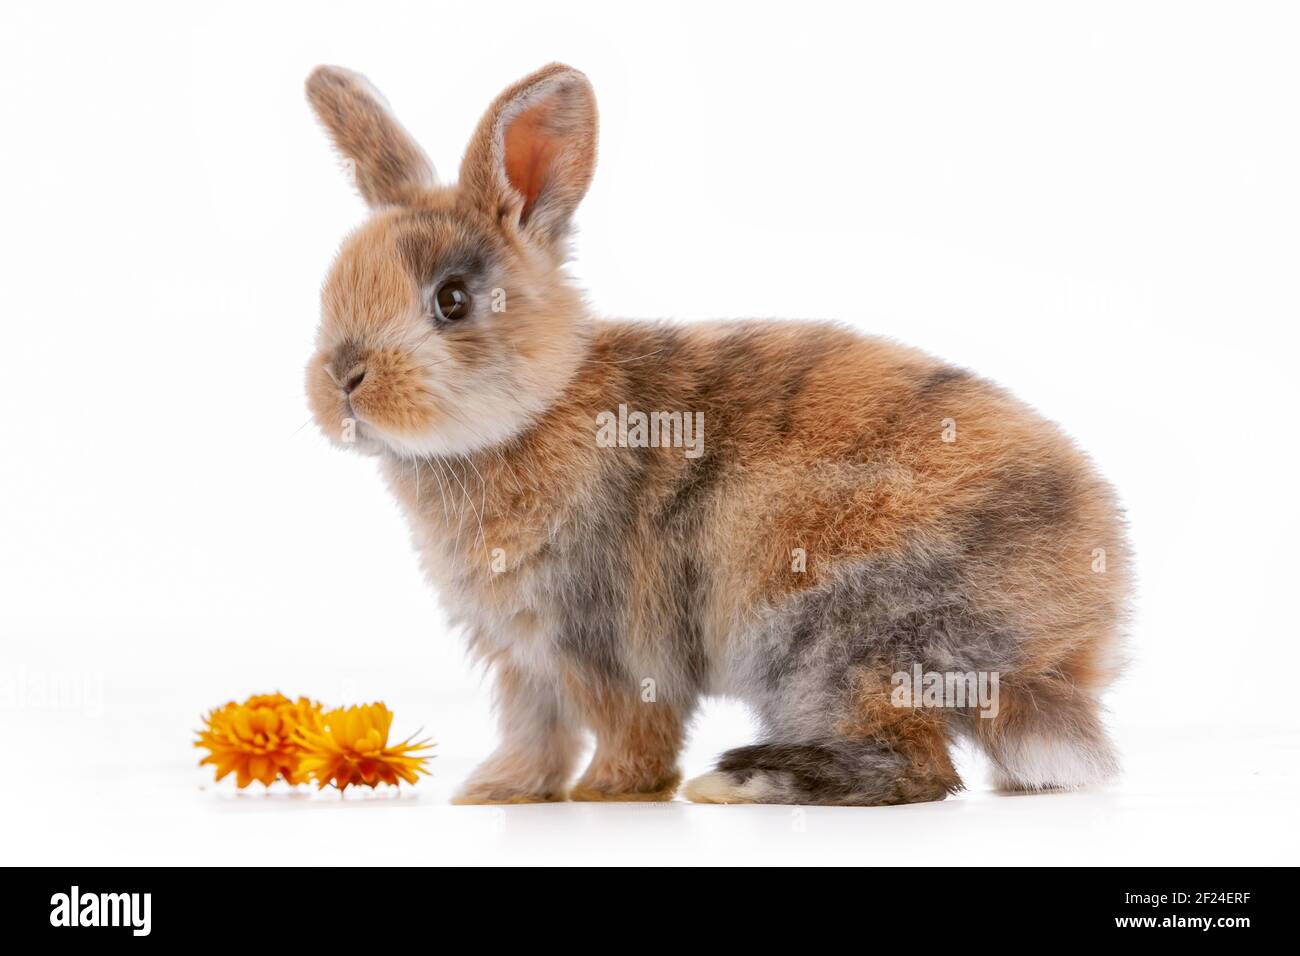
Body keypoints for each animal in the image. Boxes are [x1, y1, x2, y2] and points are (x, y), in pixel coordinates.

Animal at [303, 63, 1130, 806]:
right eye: (332, 288)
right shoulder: (524, 659)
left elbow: (631, 728)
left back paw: (745, 780)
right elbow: (536, 733)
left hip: (834, 640)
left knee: (918, 766)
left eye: (451, 300)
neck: (538, 407)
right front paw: (496, 793)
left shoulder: (603, 643)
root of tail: (1062, 650)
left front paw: (609, 793)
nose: (342, 379)